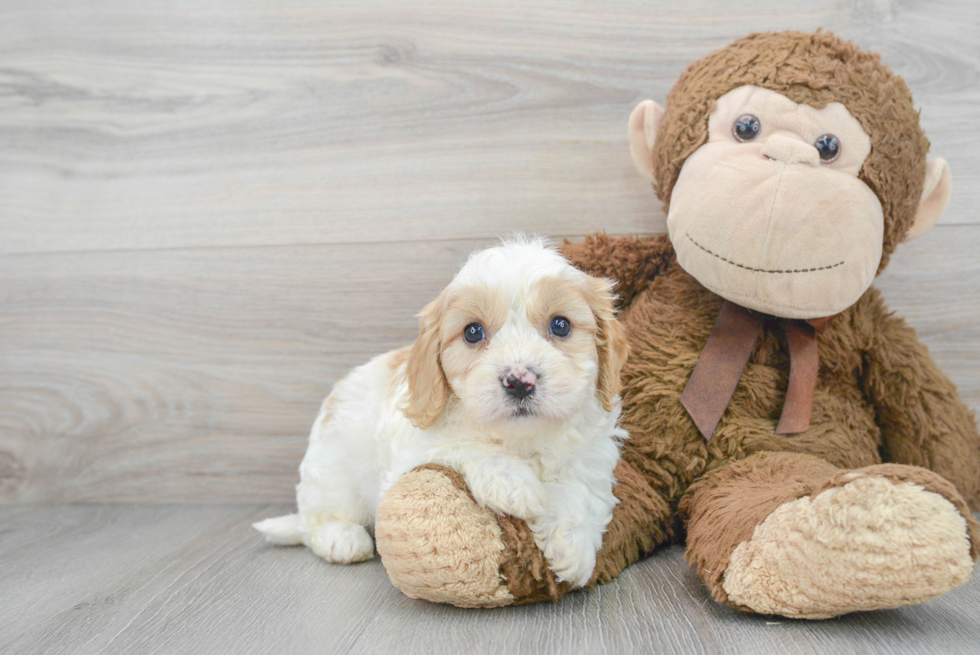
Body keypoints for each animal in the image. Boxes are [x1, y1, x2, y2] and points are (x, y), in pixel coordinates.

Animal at [253, 237, 632, 588]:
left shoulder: (592, 455)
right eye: (473, 332)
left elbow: (581, 489)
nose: (519, 381)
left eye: (561, 325)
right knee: (318, 521)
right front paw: (514, 484)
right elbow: (465, 446)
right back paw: (342, 539)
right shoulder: (413, 452)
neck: (520, 439)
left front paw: (573, 545)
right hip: (332, 471)